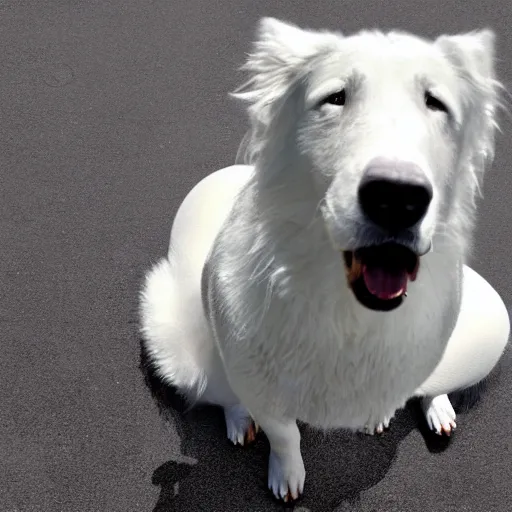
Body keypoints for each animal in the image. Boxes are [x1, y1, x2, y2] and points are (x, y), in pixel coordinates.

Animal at [138, 18, 510, 502]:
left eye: (436, 102)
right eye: (336, 97)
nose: (397, 198)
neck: (346, 312)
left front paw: (383, 412)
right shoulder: (256, 374)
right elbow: (284, 434)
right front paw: (287, 475)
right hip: (175, 338)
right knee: (220, 389)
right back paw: (239, 420)